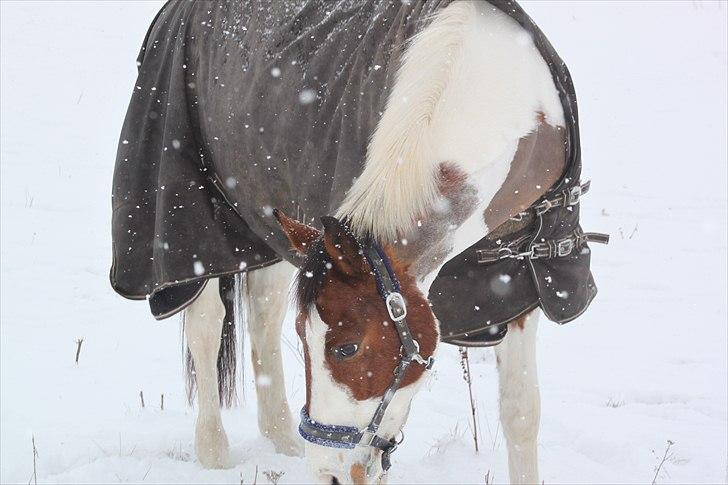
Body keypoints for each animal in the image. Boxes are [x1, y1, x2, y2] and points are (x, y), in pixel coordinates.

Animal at [111, 1, 604, 482]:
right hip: (189, 229)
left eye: (345, 348)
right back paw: (214, 453)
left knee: (263, 315)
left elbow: (521, 412)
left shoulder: (512, 282)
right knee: (207, 323)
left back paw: (282, 438)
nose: (325, 472)